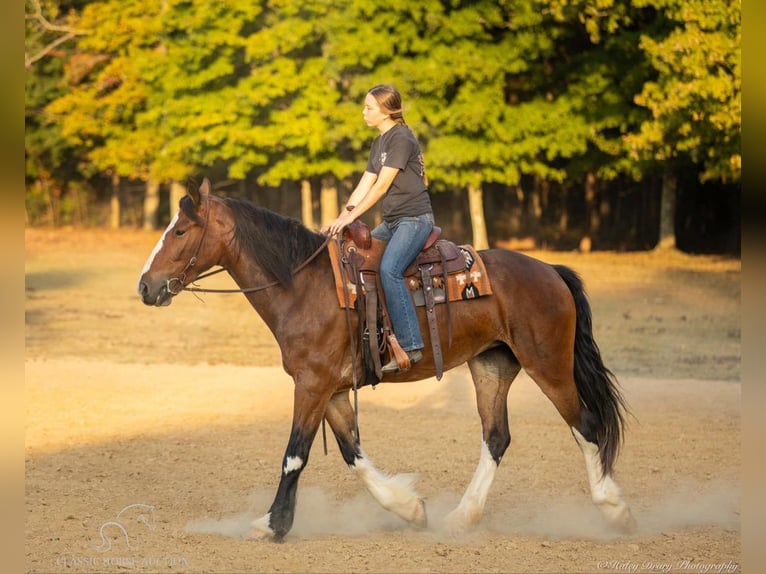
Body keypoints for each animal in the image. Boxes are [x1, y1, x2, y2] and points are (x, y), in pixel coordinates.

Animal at [136, 181, 636, 544]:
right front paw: (409, 507)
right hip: (491, 367)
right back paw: (461, 517)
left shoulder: (311, 385)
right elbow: (351, 453)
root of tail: (551, 271)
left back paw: (615, 510)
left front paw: (271, 524)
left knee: (586, 425)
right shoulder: (332, 389)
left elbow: (295, 454)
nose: (144, 286)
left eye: (179, 231)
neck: (305, 286)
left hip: (548, 365)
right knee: (496, 437)